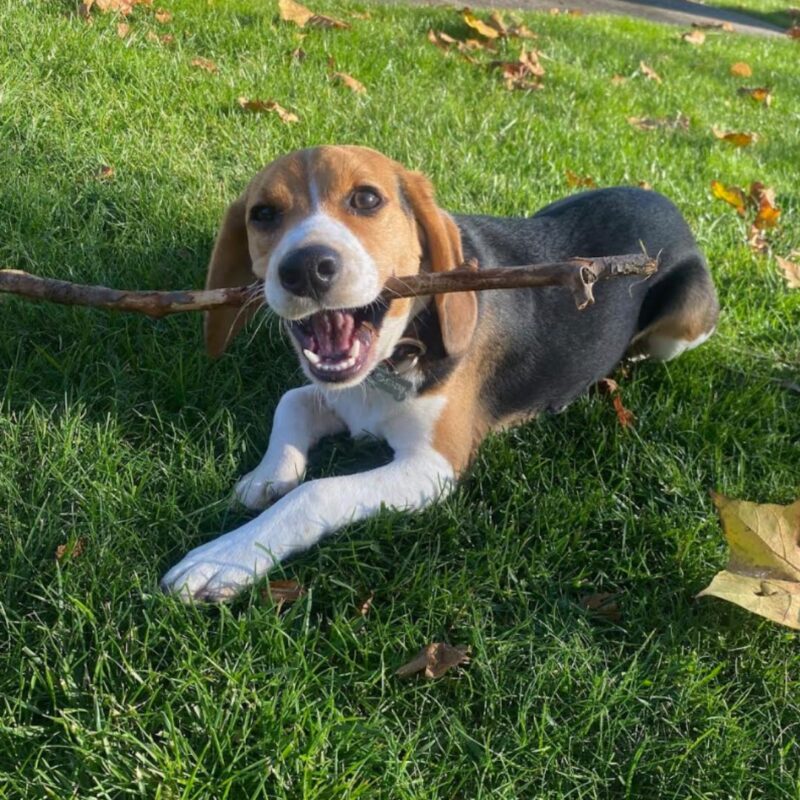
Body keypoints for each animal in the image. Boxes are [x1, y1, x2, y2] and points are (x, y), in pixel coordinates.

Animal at [161, 144, 720, 600]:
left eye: (367, 199)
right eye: (263, 214)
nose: (305, 267)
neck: (389, 362)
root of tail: (662, 199)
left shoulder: (433, 466)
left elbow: (318, 490)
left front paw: (226, 557)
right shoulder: (339, 396)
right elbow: (291, 402)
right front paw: (267, 475)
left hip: (687, 318)